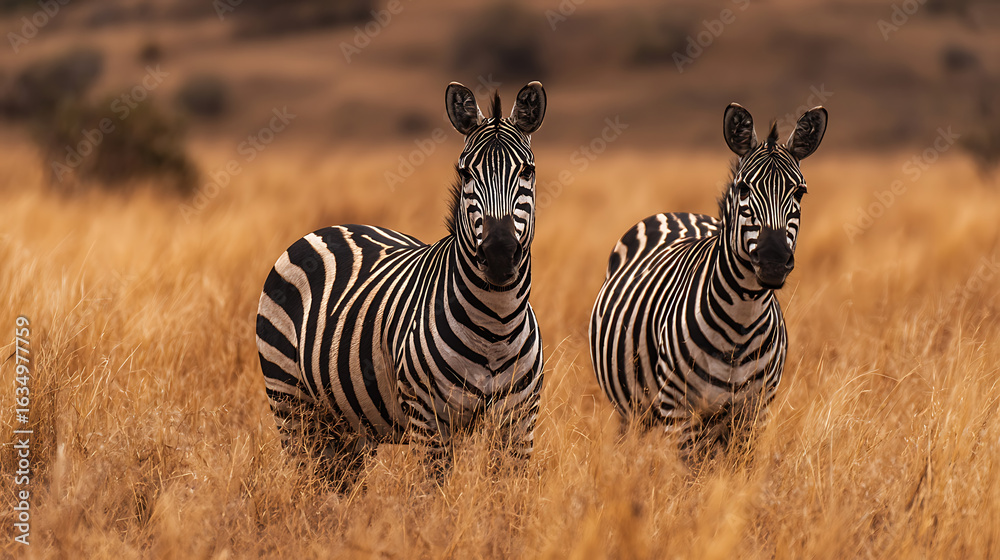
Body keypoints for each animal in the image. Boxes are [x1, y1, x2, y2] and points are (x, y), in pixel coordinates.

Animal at [255, 81, 547, 473]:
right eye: (465, 173)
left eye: (527, 171)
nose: (499, 254)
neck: (496, 326)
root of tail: (329, 228)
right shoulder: (430, 421)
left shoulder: (519, 424)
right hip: (290, 399)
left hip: (349, 425)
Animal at [589, 103, 827, 451]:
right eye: (743, 188)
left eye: (800, 192)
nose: (773, 261)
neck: (742, 321)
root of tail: (678, 214)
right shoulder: (678, 408)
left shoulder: (754, 412)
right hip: (632, 409)